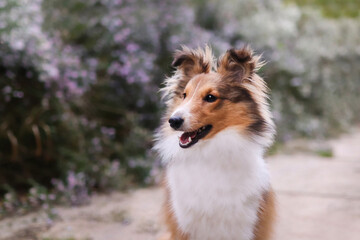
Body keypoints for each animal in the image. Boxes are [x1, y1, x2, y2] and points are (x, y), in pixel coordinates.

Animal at [154, 45, 276, 240]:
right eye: (184, 95)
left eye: (210, 97)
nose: (173, 121)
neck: (208, 153)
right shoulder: (183, 226)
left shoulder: (245, 227)